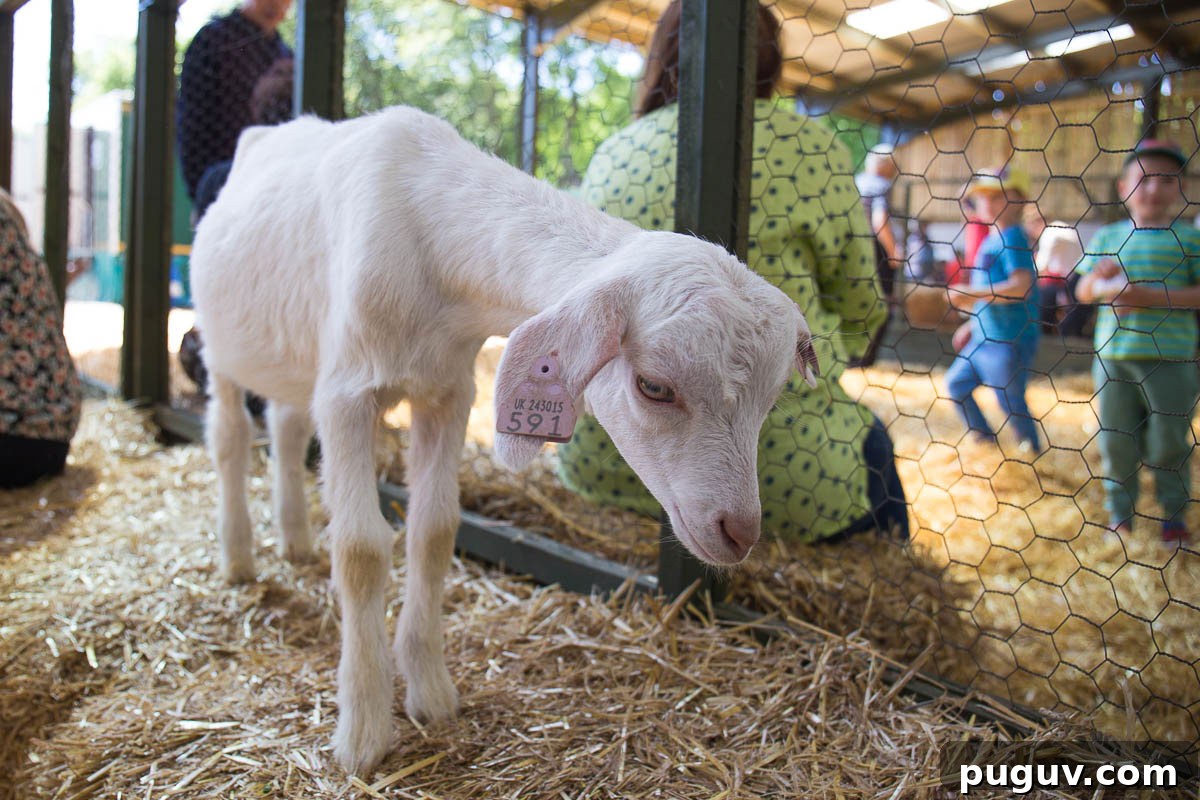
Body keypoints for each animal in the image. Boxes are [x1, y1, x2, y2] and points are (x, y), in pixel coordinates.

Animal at [190, 106, 819, 774]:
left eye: (771, 400)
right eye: (653, 386)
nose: (740, 532)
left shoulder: (447, 392)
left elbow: (435, 531)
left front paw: (432, 693)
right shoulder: (346, 394)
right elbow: (361, 550)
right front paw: (362, 733)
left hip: (292, 353)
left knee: (284, 428)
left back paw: (295, 542)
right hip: (222, 344)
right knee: (230, 437)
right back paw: (238, 558)